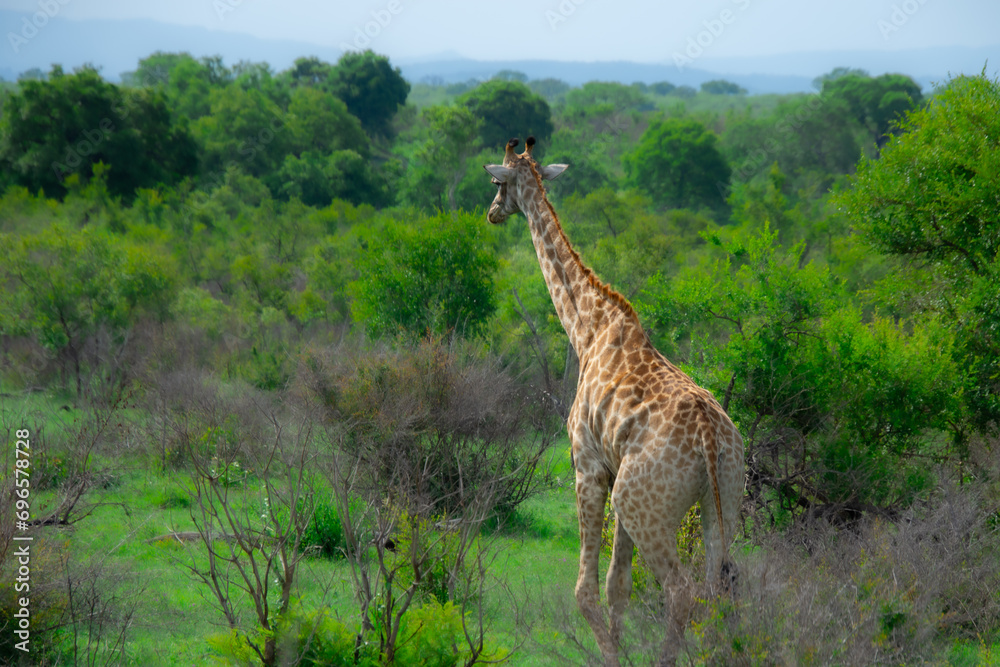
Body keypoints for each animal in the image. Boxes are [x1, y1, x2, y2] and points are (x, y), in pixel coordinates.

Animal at [483, 137, 744, 665]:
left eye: (499, 183)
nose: (492, 213)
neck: (586, 328)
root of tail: (710, 440)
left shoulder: (587, 464)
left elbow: (586, 590)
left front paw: (610, 653)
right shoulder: (614, 465)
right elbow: (616, 588)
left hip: (643, 502)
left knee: (682, 591)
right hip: (723, 499)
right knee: (717, 589)